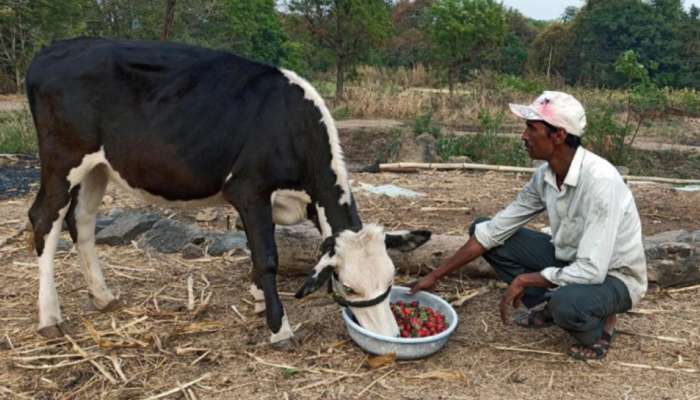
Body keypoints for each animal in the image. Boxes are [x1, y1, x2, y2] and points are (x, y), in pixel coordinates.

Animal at [26, 38, 432, 350]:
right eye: (348, 286)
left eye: (391, 279)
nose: (391, 334)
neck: (291, 125)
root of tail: (53, 50)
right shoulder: (249, 190)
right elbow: (267, 257)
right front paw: (279, 328)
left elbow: (257, 250)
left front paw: (258, 300)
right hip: (62, 159)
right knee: (44, 218)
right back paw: (50, 316)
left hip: (98, 166)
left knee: (82, 220)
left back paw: (102, 296)